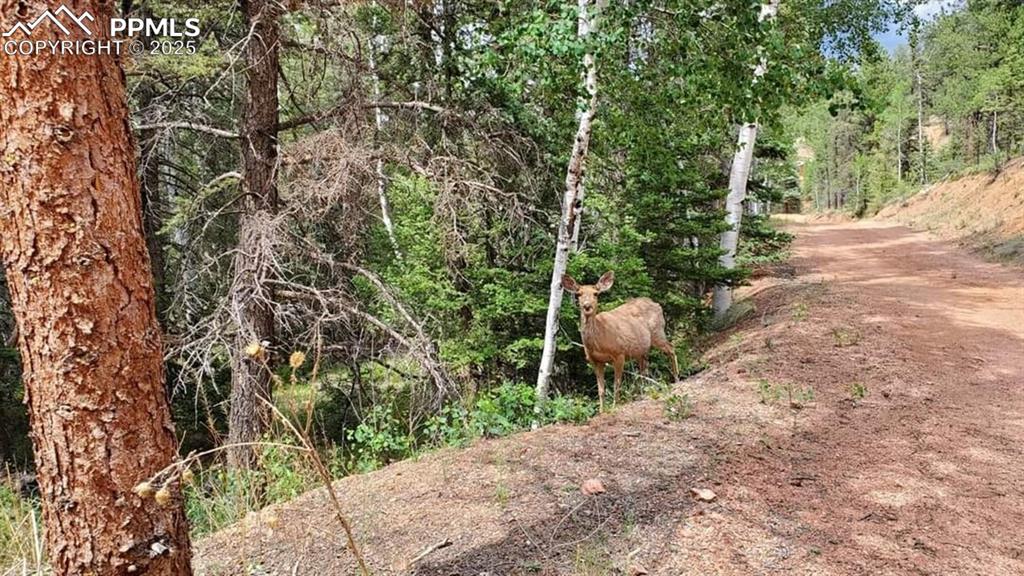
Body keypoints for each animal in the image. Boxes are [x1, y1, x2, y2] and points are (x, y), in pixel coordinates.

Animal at [562, 271, 679, 411]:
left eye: (596, 293)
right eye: (579, 294)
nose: (587, 306)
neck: (599, 341)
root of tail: (657, 304)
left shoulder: (619, 354)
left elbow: (616, 385)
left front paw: (614, 406)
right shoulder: (595, 360)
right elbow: (601, 389)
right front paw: (601, 411)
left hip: (658, 333)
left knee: (671, 348)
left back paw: (677, 378)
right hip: (641, 349)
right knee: (644, 366)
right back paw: (643, 391)